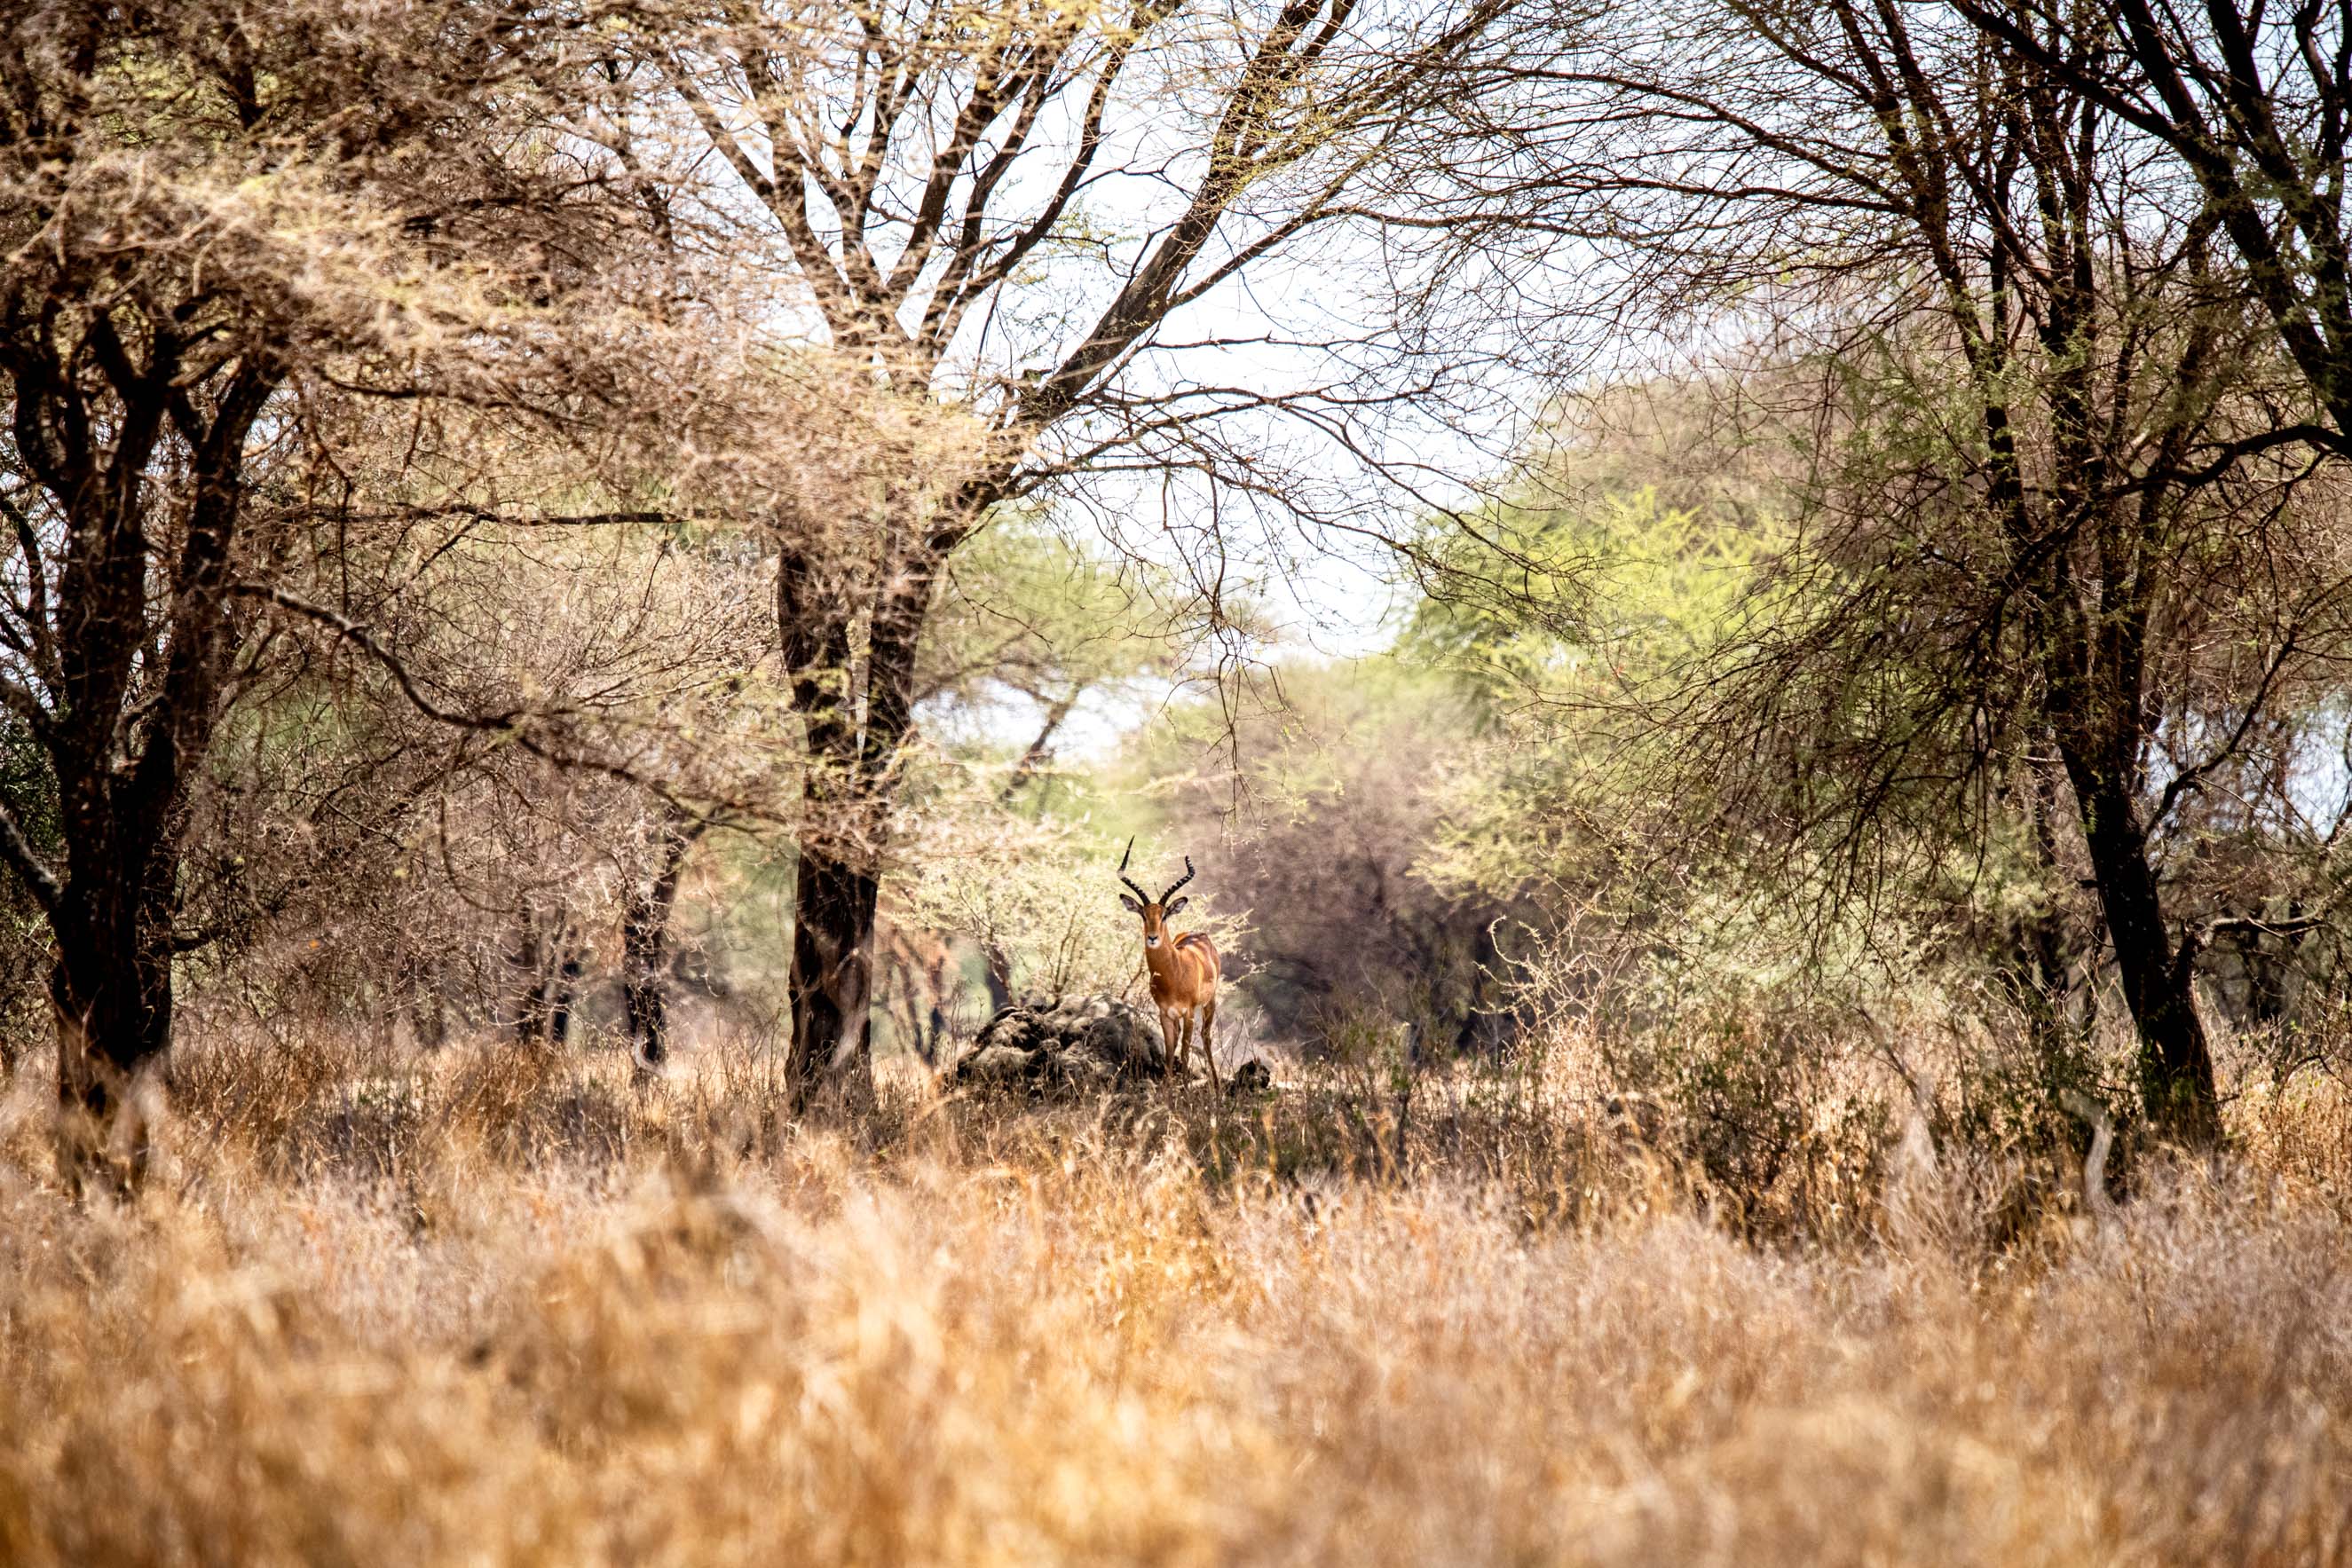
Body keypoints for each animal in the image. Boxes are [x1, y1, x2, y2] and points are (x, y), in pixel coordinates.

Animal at [1117, 838, 1221, 1088]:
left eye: (1164, 915)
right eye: (1144, 915)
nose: (1152, 937)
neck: (1175, 973)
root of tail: (1199, 935)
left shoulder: (1189, 1012)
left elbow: (1184, 1051)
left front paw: (1185, 1091)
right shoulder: (1165, 1013)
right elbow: (1168, 1052)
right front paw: (1167, 1091)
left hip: (1209, 1003)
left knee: (1206, 1037)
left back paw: (1217, 1087)